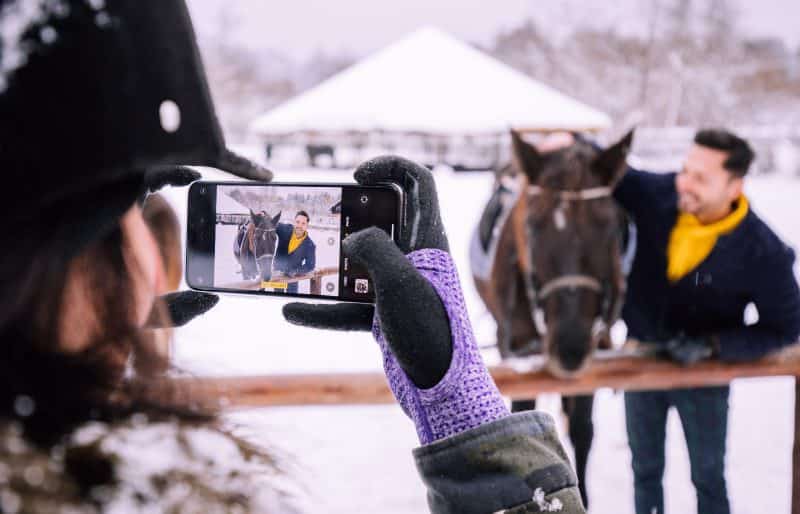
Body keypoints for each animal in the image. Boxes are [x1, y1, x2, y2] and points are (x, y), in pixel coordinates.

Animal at [472, 128, 636, 504]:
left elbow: (583, 429)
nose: (569, 346)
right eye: (532, 225)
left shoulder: (595, 349)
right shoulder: (519, 350)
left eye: (610, 227)